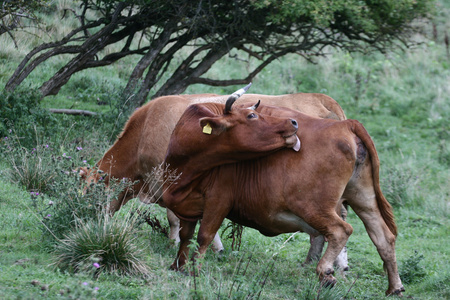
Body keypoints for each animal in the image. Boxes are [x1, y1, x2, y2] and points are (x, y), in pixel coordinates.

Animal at [162, 98, 404, 296]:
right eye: (251, 115)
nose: (293, 123)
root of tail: (344, 124)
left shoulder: (218, 200)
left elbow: (204, 236)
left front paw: (194, 271)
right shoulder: (186, 206)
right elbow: (185, 235)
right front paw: (178, 266)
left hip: (312, 207)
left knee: (340, 230)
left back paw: (325, 272)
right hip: (363, 198)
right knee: (384, 237)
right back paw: (394, 287)